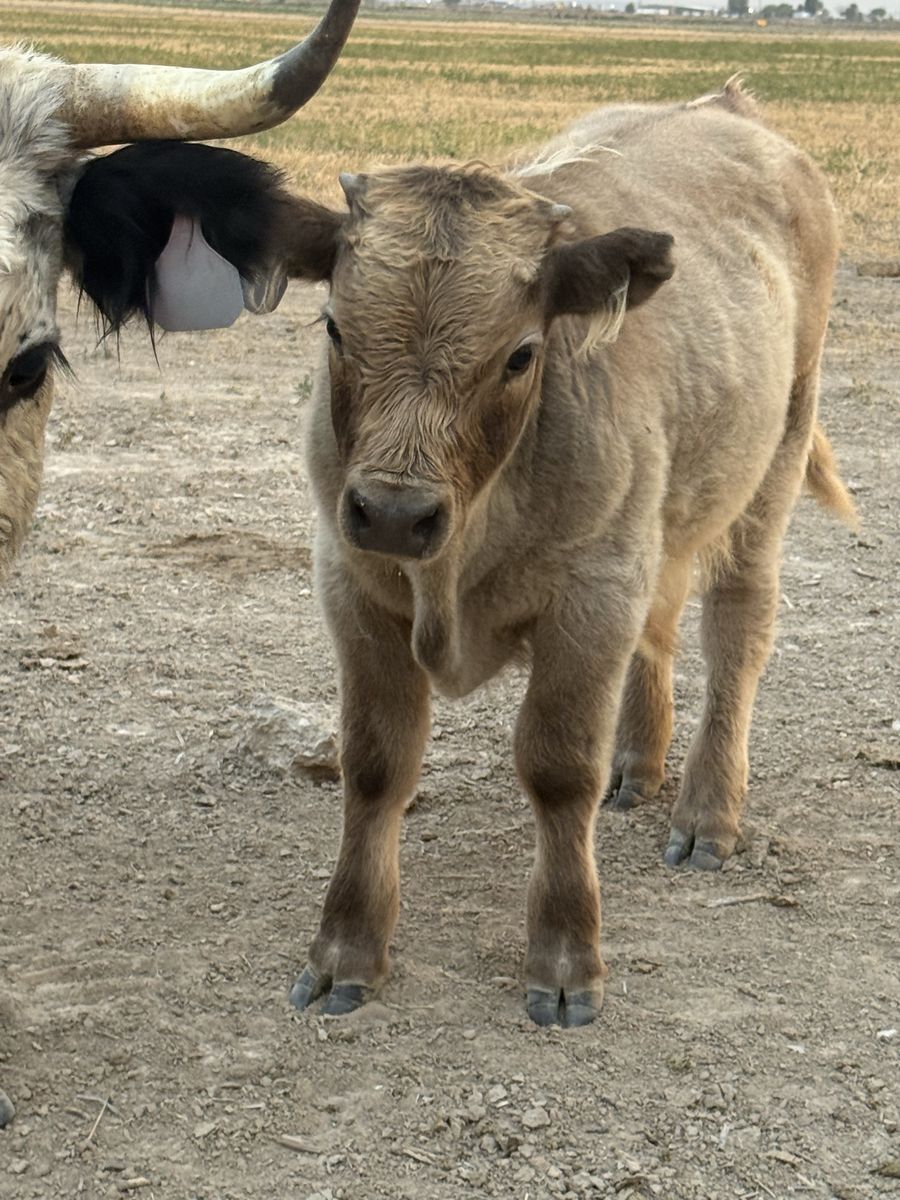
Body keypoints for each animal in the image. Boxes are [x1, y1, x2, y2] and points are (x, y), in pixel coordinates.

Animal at [259, 79, 854, 1028]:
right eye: (335, 329)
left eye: (520, 354)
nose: (394, 512)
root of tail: (732, 110)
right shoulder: (354, 588)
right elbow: (376, 765)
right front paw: (344, 950)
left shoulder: (590, 598)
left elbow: (558, 767)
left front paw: (567, 960)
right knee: (662, 624)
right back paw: (637, 767)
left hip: (773, 461)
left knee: (737, 630)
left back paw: (707, 813)